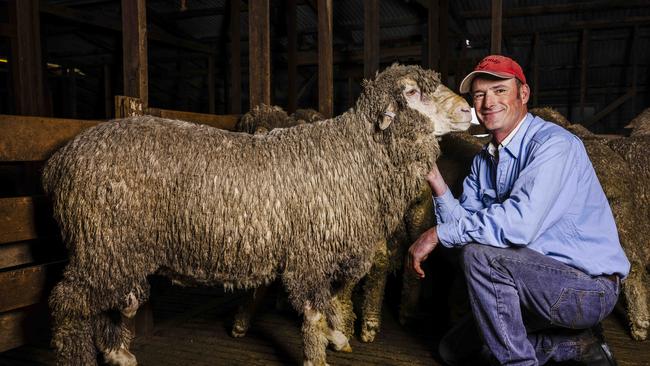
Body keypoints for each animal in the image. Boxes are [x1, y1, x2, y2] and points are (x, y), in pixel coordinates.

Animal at [44, 64, 470, 364]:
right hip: (99, 244)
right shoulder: (308, 253)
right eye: (411, 92)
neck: (351, 155)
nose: (467, 109)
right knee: (68, 304)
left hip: (117, 253)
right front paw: (318, 355)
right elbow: (313, 312)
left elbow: (331, 299)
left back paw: (117, 352)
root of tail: (60, 161)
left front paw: (338, 336)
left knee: (117, 301)